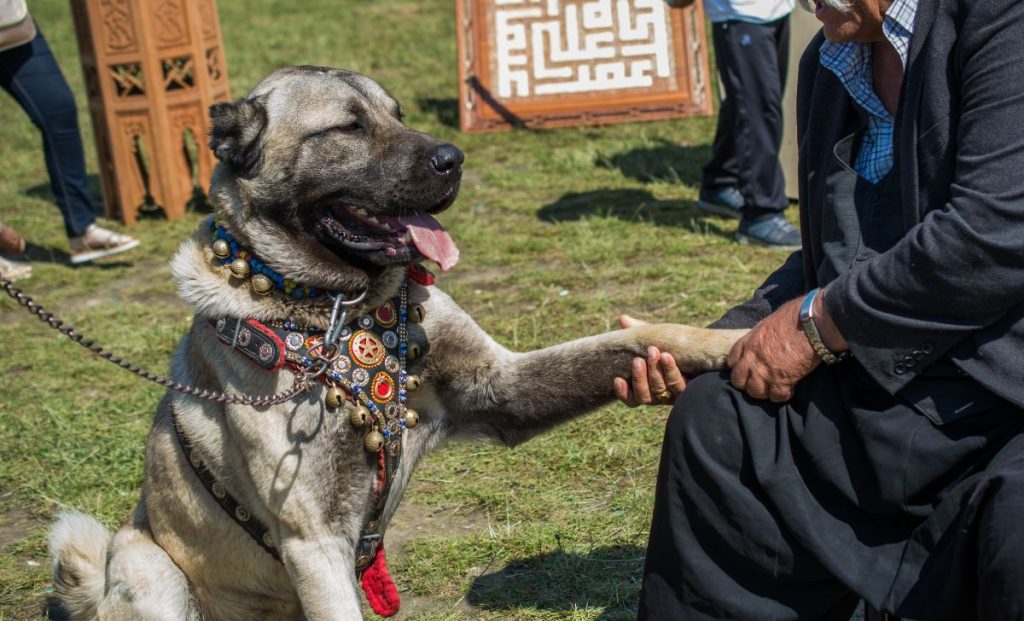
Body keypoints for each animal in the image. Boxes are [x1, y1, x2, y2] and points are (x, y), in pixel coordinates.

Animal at [48, 65, 745, 618]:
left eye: (397, 115)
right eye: (348, 128)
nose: (453, 159)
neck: (342, 313)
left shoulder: (503, 388)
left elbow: (651, 334)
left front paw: (745, 340)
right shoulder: (315, 543)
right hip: (145, 565)